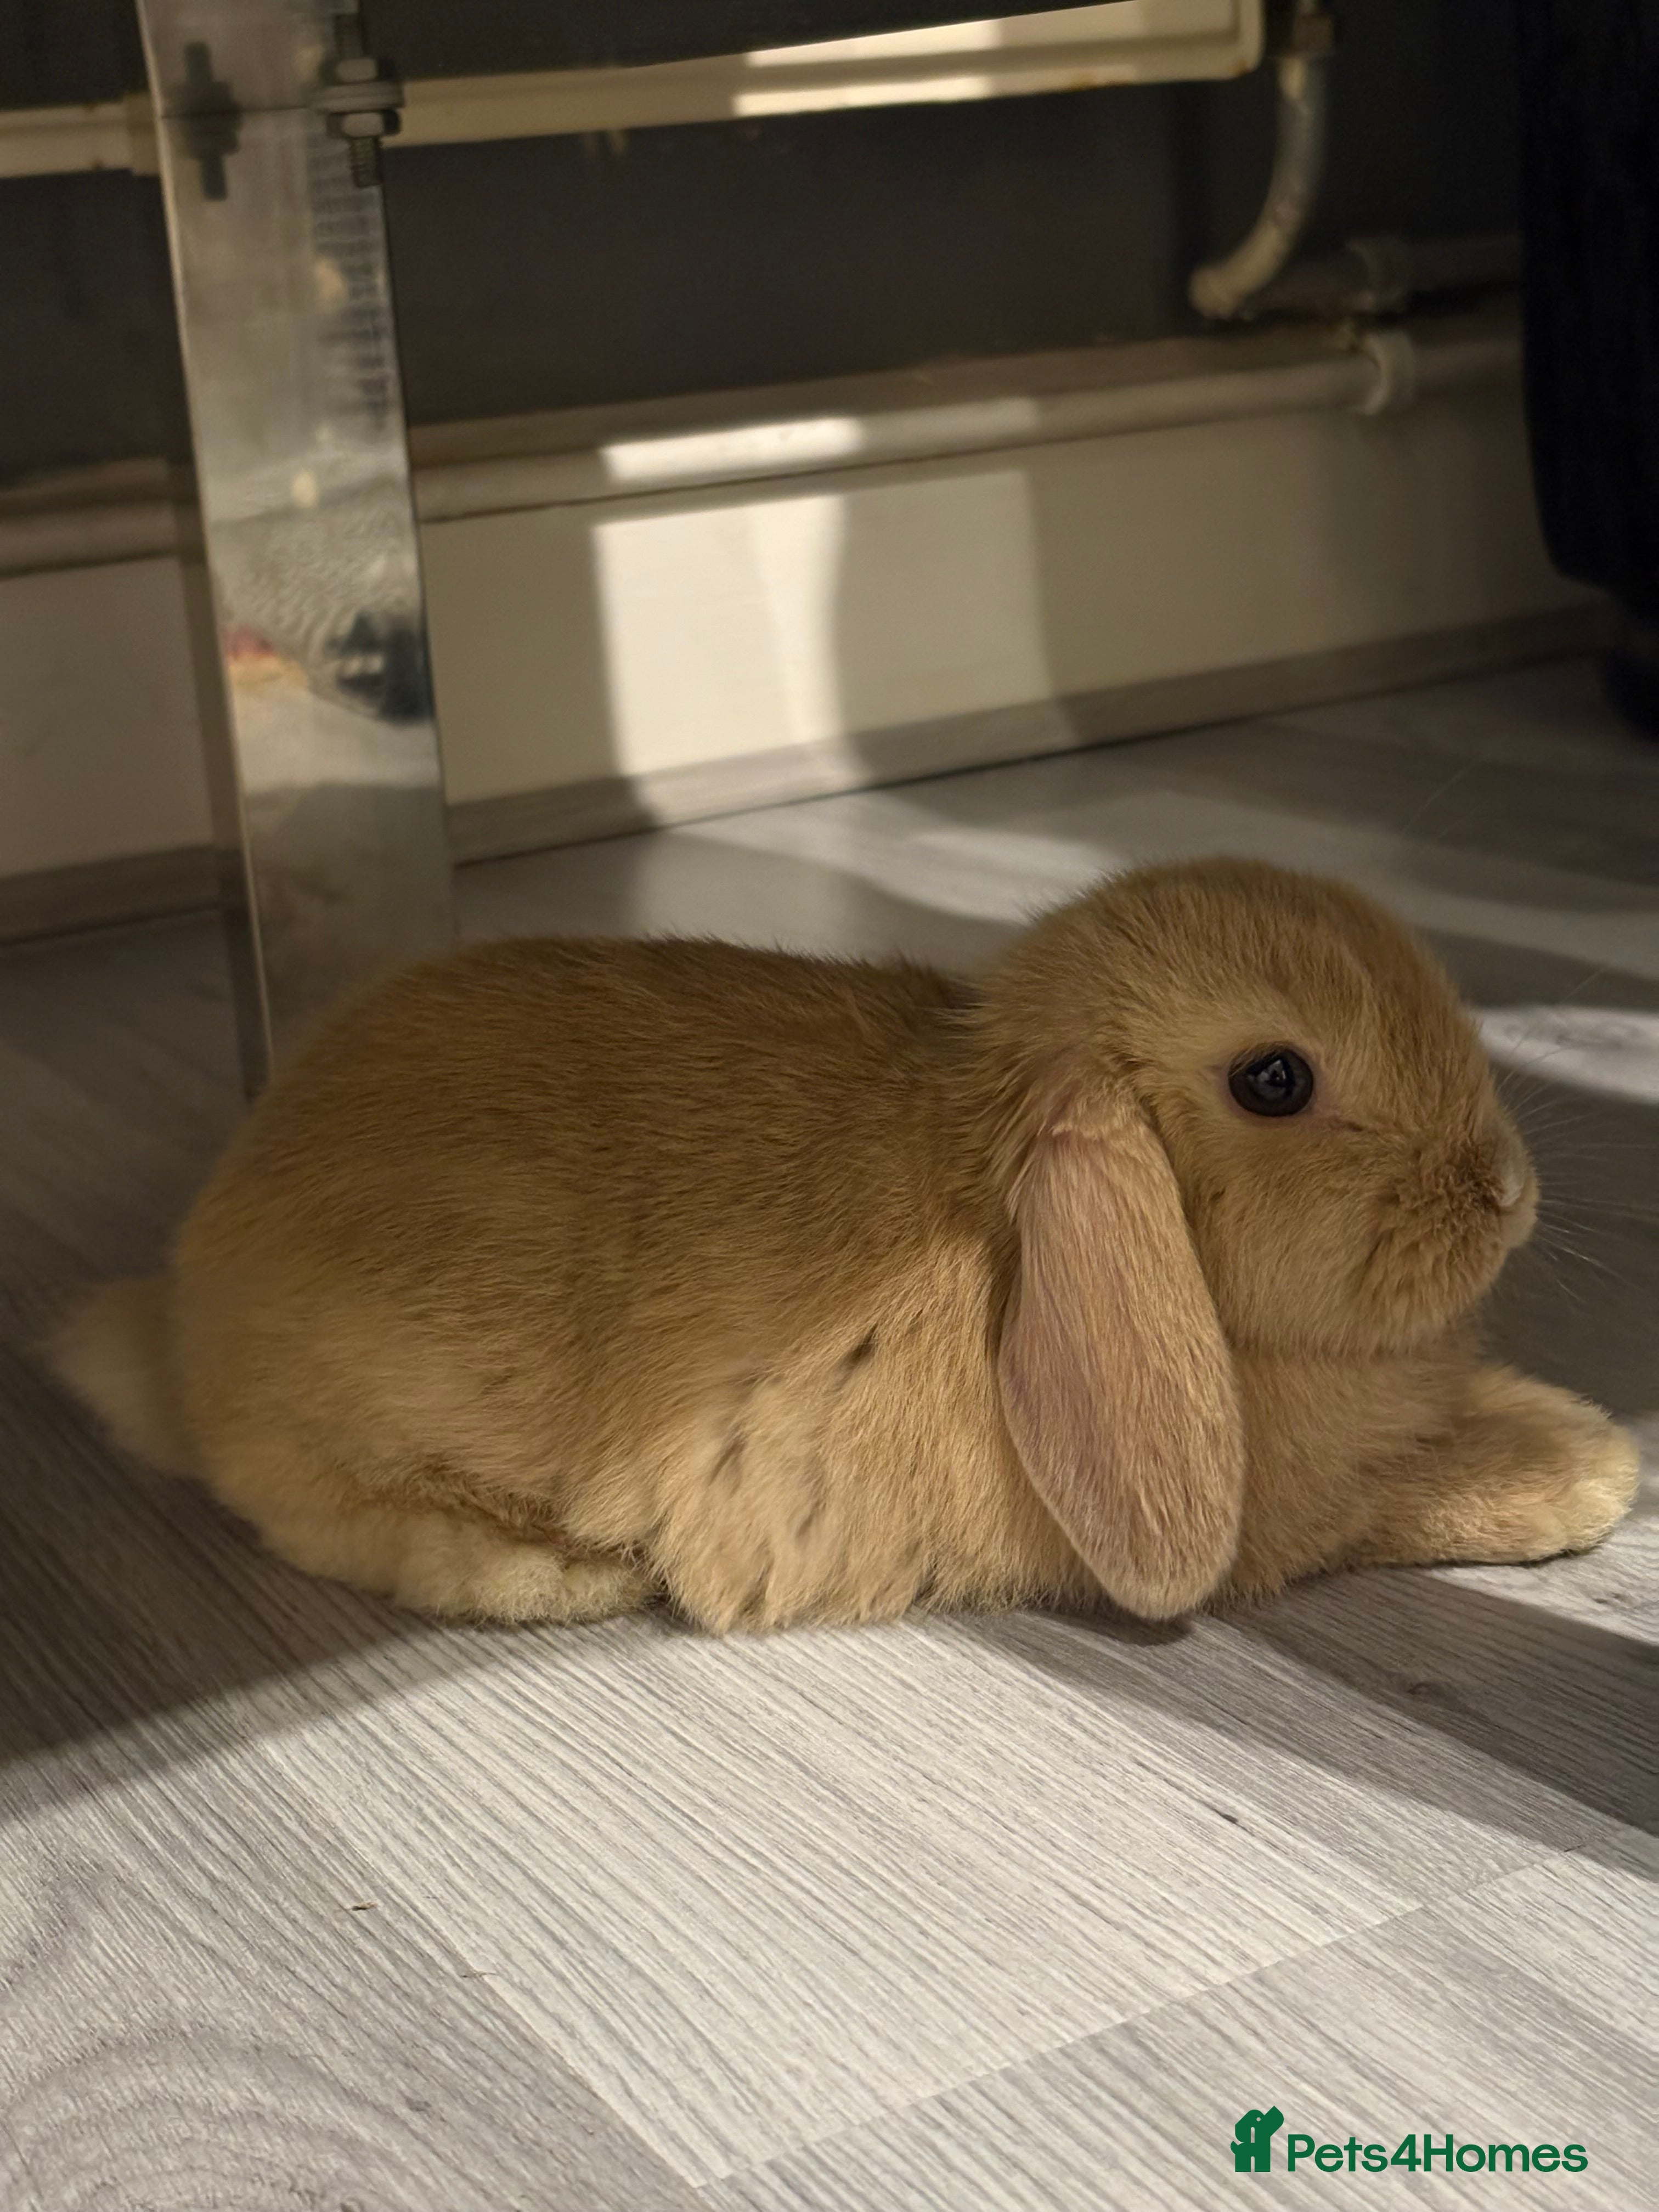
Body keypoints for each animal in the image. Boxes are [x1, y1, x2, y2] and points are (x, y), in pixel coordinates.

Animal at [51, 856, 1638, 1633]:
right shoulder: (1291, 1520)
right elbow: (1408, 1500)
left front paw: (1583, 1433)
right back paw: (567, 1578)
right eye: (1274, 1081)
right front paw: (1589, 1480)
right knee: (310, 1506)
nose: (1509, 1191)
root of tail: (180, 1316)